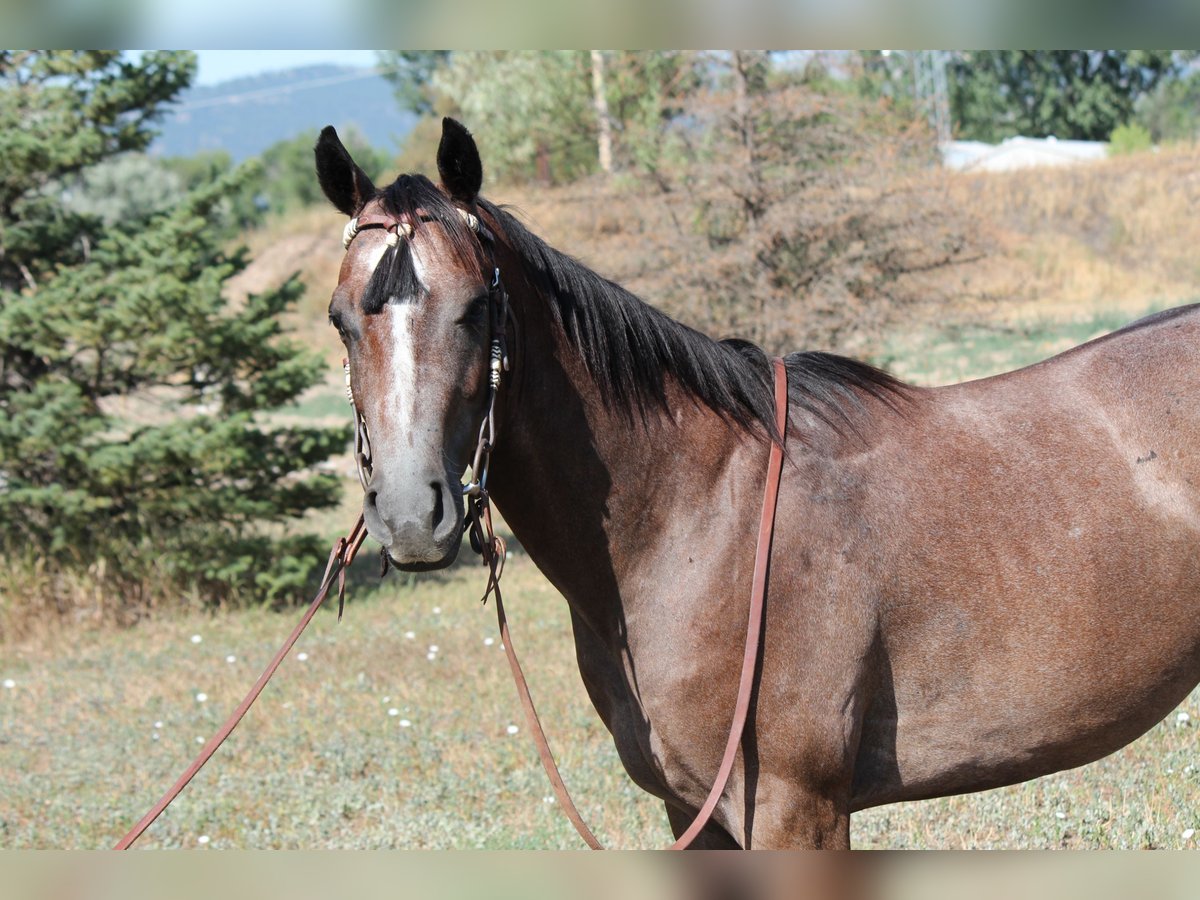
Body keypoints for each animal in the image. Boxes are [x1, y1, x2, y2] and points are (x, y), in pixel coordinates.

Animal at [314, 117, 1200, 849]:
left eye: (474, 309)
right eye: (341, 320)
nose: (409, 516)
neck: (699, 517)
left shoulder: (793, 808)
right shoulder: (692, 814)